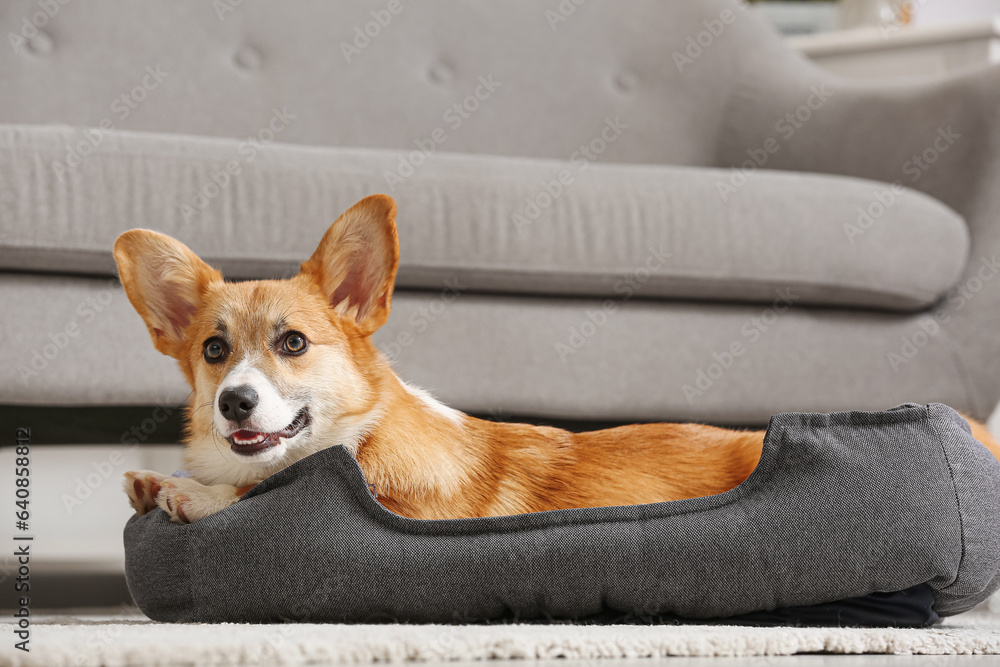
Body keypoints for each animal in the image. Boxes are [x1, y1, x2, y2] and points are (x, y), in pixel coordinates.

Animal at [113, 193, 1000, 520]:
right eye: (214, 349)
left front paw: (190, 493)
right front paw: (167, 479)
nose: (233, 402)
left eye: (293, 342)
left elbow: (250, 497)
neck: (358, 435)